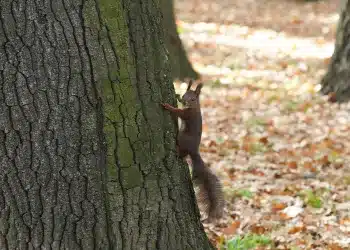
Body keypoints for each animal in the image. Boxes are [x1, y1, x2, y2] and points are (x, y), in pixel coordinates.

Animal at [161, 80, 224, 221]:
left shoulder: (187, 114)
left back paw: (177, 151)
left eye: (193, 99)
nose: (185, 102)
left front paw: (168, 106)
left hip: (182, 138)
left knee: (182, 151)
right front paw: (177, 96)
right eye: (185, 95)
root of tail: (194, 151)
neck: (194, 107)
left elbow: (178, 112)